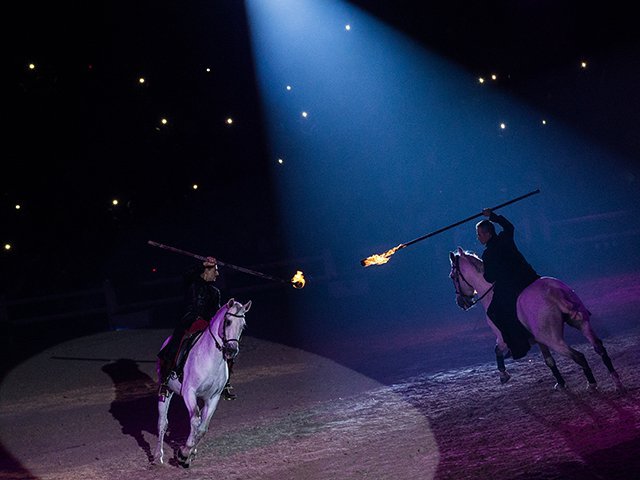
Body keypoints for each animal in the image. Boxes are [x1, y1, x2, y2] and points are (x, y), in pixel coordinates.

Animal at [153, 298, 251, 467]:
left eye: (243, 326)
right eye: (228, 321)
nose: (232, 350)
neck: (211, 358)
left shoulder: (213, 397)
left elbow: (203, 427)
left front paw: (189, 453)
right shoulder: (189, 393)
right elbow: (195, 420)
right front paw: (184, 453)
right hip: (166, 391)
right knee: (162, 423)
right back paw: (158, 456)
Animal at [448, 247, 624, 392]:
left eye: (452, 276)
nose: (461, 302)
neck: (490, 292)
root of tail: (555, 293)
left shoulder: (502, 338)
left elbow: (497, 350)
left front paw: (504, 375)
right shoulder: (540, 341)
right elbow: (549, 361)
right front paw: (561, 383)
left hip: (553, 340)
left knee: (579, 356)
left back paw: (592, 384)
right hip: (580, 324)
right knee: (599, 347)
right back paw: (617, 383)